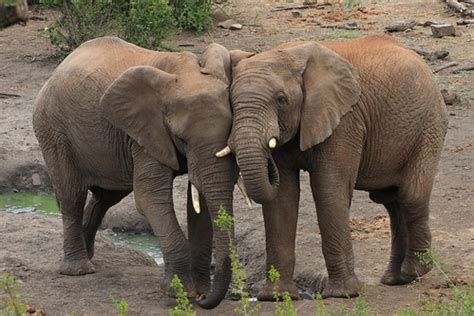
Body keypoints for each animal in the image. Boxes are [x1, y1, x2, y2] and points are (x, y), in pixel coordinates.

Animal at [33, 36, 252, 308]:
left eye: (231, 128)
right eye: (182, 138)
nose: (204, 300)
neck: (184, 69)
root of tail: (58, 69)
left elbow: (199, 206)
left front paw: (200, 291)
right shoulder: (144, 134)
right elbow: (150, 199)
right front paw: (180, 293)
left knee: (105, 197)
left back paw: (90, 255)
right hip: (53, 129)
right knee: (71, 196)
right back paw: (79, 270)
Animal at [218, 35, 448, 300]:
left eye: (281, 100)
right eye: (230, 102)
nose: (268, 160)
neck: (289, 55)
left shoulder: (345, 120)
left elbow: (328, 188)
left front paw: (342, 294)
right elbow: (282, 198)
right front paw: (277, 297)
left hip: (428, 126)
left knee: (411, 195)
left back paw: (415, 272)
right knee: (392, 201)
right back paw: (395, 279)